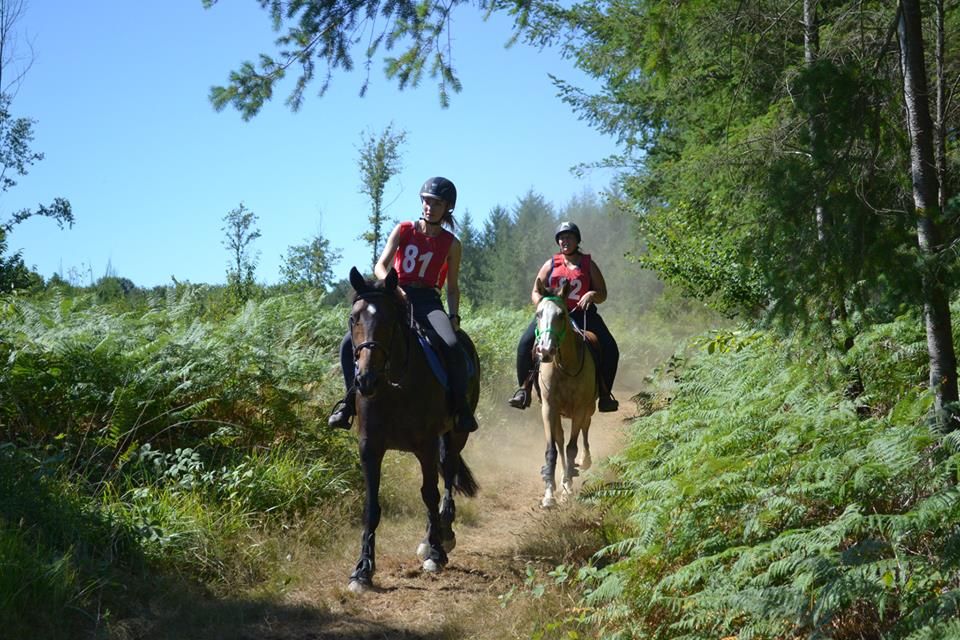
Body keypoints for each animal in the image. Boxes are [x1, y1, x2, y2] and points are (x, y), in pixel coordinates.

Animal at [345, 266, 480, 593]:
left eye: (388, 320)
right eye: (354, 319)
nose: (365, 380)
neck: (393, 384)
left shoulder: (426, 445)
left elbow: (429, 494)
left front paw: (436, 553)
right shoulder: (369, 448)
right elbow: (371, 507)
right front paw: (362, 570)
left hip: (456, 434)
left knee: (448, 474)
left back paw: (443, 533)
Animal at [533, 278, 597, 508]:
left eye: (561, 315)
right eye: (538, 314)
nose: (545, 351)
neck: (563, 367)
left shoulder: (579, 409)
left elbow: (572, 447)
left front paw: (568, 489)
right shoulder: (548, 408)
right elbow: (553, 449)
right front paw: (549, 494)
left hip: (589, 408)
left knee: (585, 429)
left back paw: (583, 462)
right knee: (560, 440)